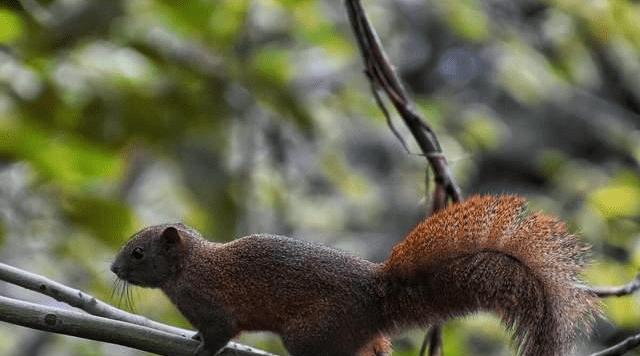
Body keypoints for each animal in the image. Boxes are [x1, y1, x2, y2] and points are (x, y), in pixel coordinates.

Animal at [111, 195, 600, 356]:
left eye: (137, 252)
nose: (112, 268)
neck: (189, 266)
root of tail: (375, 294)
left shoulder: (214, 306)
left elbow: (219, 333)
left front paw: (201, 349)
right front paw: (191, 339)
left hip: (312, 334)